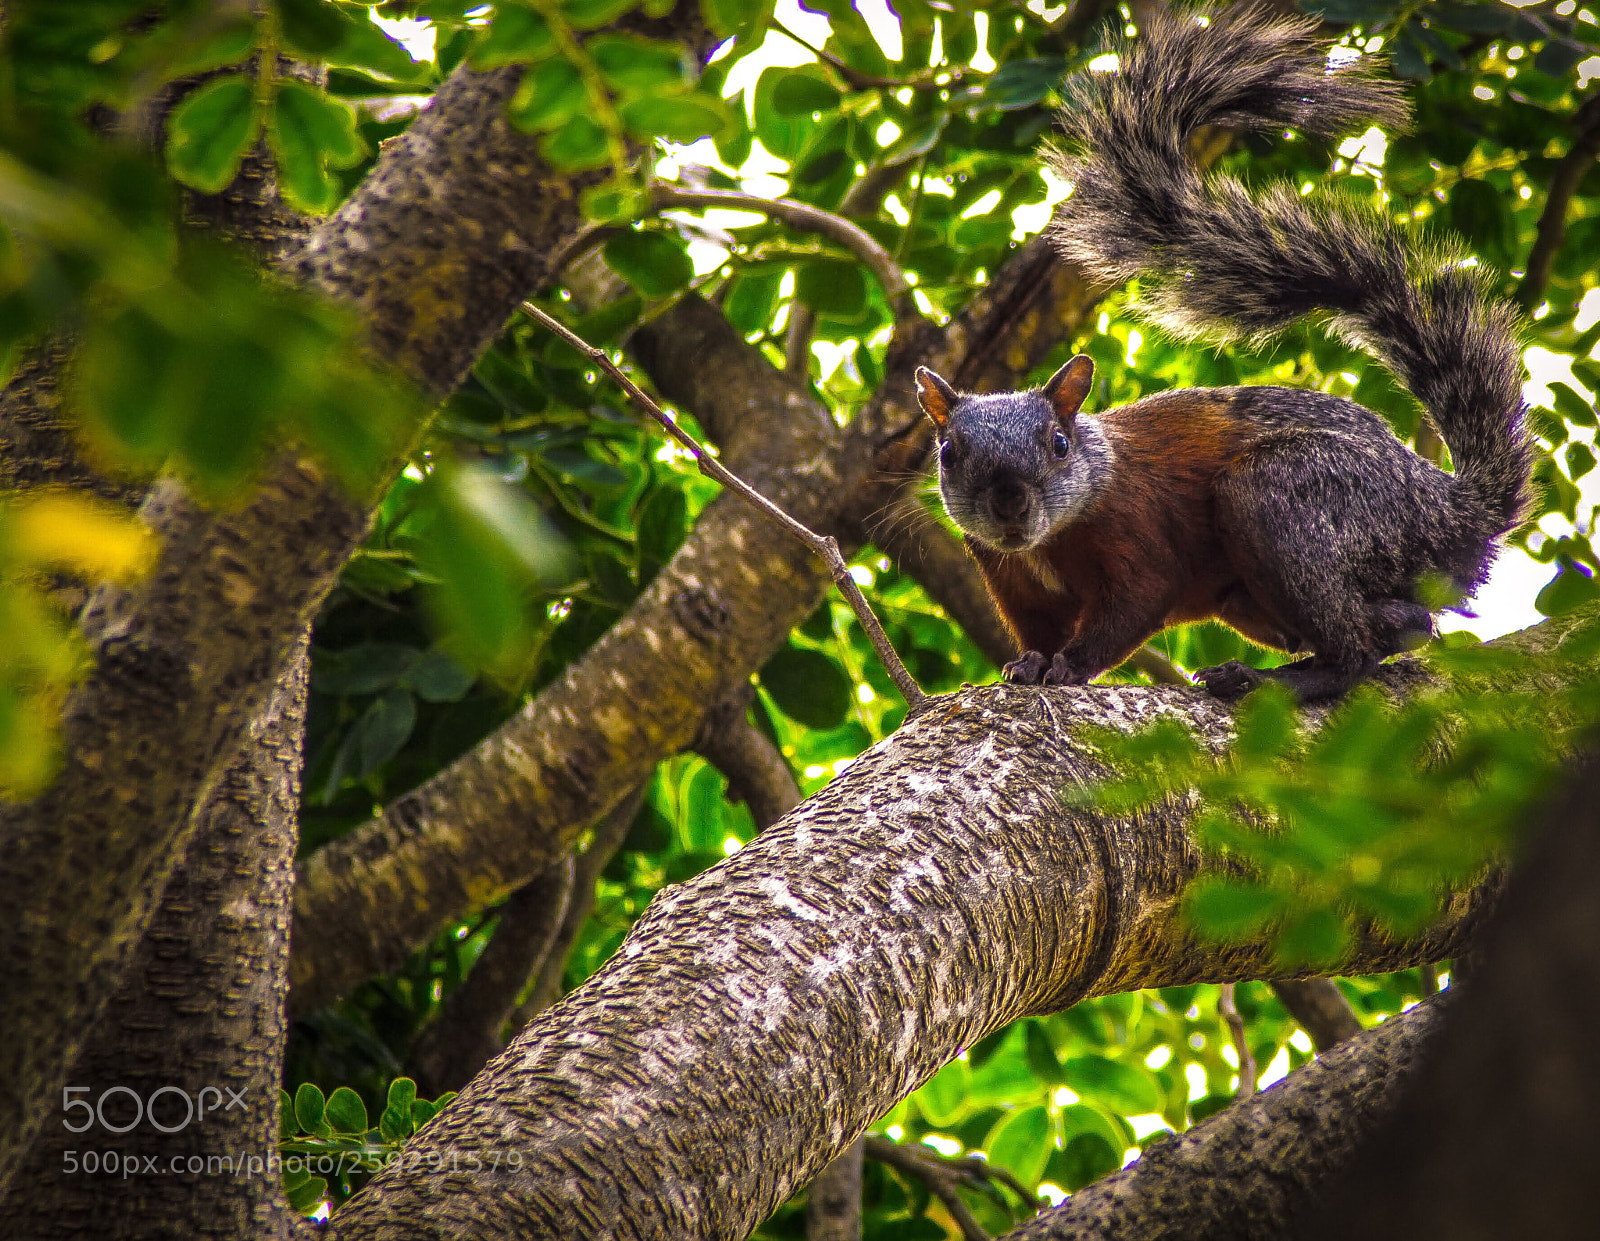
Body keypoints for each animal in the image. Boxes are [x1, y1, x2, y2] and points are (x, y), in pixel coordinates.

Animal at [915, 4, 1530, 702]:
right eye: (948, 451)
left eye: (1060, 443)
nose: (1010, 504)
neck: (1044, 543)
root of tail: (1451, 512)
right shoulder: (1010, 580)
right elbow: (1036, 630)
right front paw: (1027, 665)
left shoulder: (1140, 534)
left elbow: (1129, 611)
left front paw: (1069, 667)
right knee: (1405, 622)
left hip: (1288, 497)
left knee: (1353, 652)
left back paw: (1270, 680)